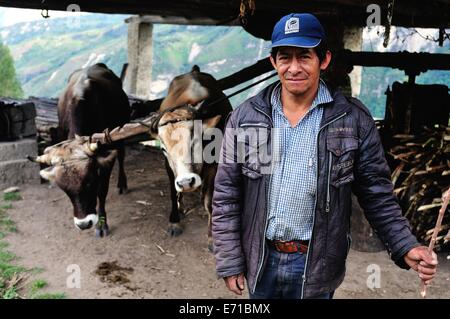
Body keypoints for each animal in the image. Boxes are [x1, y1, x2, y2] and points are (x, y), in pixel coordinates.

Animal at [29, 63, 129, 238]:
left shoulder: (105, 157)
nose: (83, 224)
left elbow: (102, 191)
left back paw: (122, 184)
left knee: (121, 156)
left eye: (90, 182)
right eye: (64, 189)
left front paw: (102, 225)